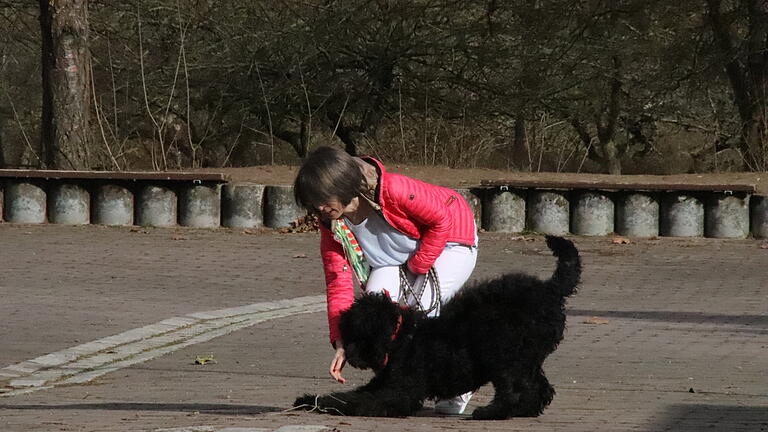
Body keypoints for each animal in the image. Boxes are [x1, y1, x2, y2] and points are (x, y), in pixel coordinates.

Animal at [296, 235, 584, 420]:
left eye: (358, 334)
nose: (351, 356)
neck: (401, 338)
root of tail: (549, 289)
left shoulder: (398, 393)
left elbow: (358, 402)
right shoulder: (381, 384)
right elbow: (346, 395)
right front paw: (310, 400)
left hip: (503, 353)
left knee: (513, 389)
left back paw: (491, 413)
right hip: (527, 357)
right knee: (540, 387)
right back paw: (525, 410)